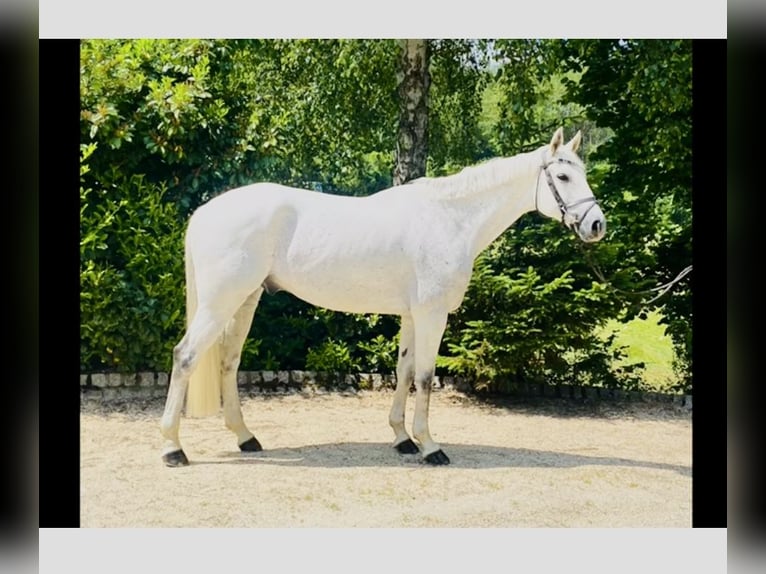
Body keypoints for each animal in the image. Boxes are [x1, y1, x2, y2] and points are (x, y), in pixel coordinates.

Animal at [160, 129, 608, 468]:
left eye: (582, 173)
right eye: (563, 177)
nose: (596, 225)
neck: (449, 219)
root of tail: (205, 212)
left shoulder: (411, 316)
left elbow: (404, 372)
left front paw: (402, 439)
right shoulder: (432, 315)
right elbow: (425, 377)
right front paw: (430, 447)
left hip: (245, 300)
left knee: (228, 362)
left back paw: (245, 438)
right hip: (221, 302)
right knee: (186, 357)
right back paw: (172, 448)